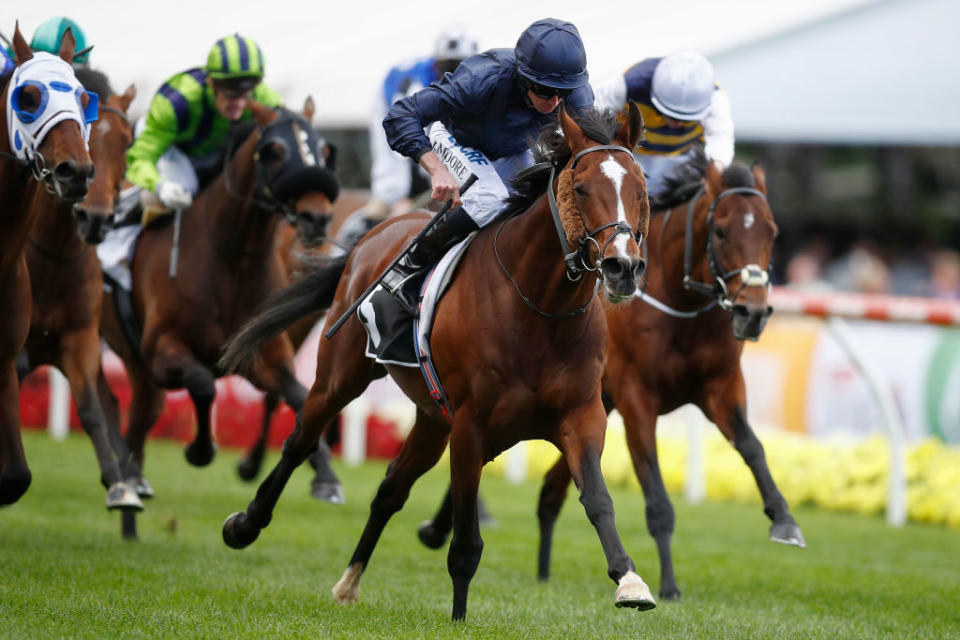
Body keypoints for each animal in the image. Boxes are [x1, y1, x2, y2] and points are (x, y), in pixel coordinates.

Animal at [99, 104, 340, 536]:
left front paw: (326, 478)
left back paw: (132, 499)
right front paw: (199, 449)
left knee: (141, 420)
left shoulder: (260, 355)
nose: (317, 218)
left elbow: (297, 396)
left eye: (322, 148)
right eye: (274, 150)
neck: (231, 259)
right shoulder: (162, 350)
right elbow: (202, 382)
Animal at [218, 104, 656, 620]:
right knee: (300, 440)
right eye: (583, 187)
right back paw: (245, 524)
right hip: (341, 378)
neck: (540, 308)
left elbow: (597, 499)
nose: (622, 267)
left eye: (641, 188)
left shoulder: (581, 416)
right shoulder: (471, 426)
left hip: (431, 419)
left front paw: (630, 581)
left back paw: (349, 583)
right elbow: (466, 541)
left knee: (390, 489)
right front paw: (459, 617)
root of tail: (376, 233)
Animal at [418, 158, 804, 596]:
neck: (679, 307)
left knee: (547, 487)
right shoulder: (636, 397)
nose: (752, 313)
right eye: (721, 230)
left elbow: (753, 446)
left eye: (771, 231)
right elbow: (656, 496)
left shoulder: (720, 385)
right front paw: (669, 585)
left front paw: (784, 520)